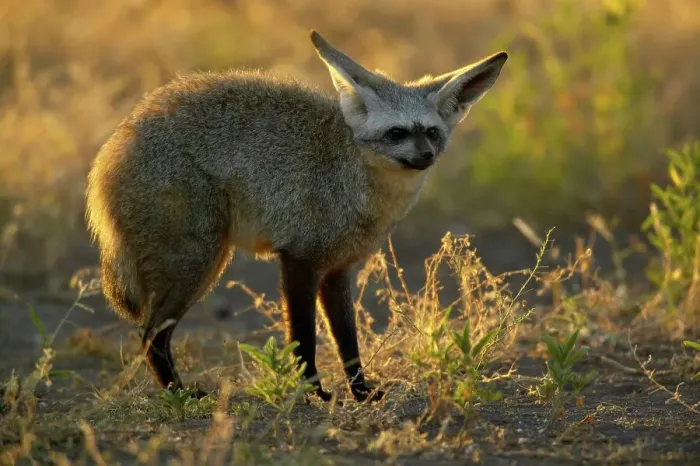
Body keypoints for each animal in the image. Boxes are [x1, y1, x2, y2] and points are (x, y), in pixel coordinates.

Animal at [85, 30, 507, 402]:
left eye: (431, 133)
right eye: (397, 133)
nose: (425, 157)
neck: (352, 178)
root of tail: (112, 148)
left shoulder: (338, 270)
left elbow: (348, 343)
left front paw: (360, 391)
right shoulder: (299, 260)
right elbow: (304, 339)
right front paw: (313, 392)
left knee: (152, 336)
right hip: (200, 263)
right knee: (150, 337)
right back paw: (180, 394)